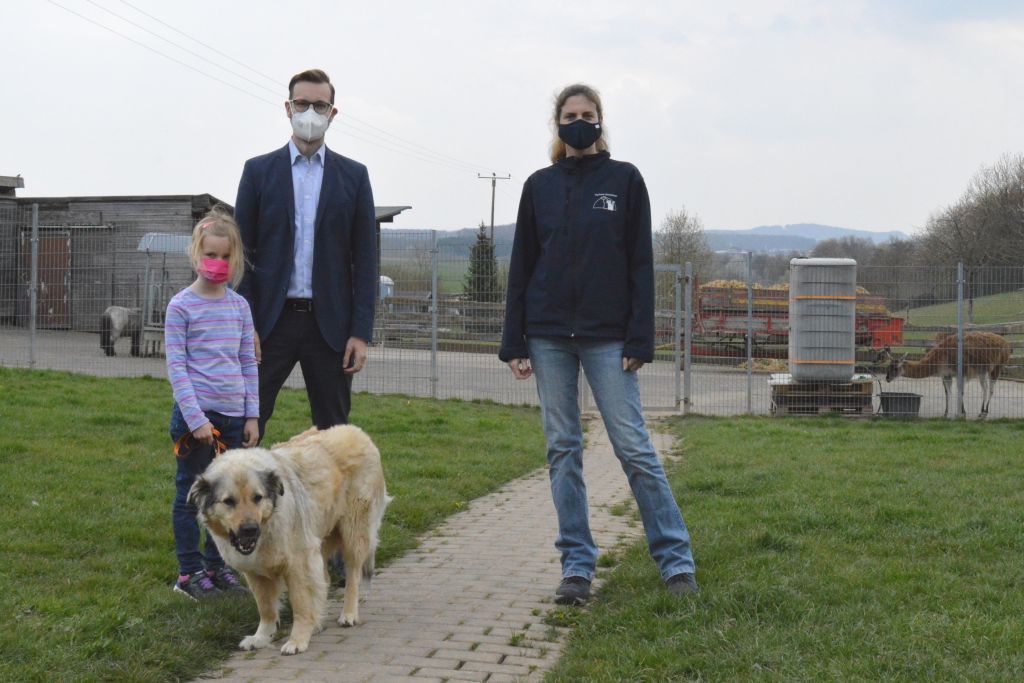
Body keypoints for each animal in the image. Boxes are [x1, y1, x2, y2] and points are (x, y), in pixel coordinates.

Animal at [187, 423, 387, 655]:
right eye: (229, 501)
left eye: (257, 498)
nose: (249, 529)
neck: (267, 524)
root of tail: (356, 431)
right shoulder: (255, 571)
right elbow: (266, 608)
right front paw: (261, 637)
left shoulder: (299, 563)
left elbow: (300, 603)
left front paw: (298, 639)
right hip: (319, 536)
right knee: (325, 579)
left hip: (353, 532)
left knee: (353, 575)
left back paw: (348, 614)